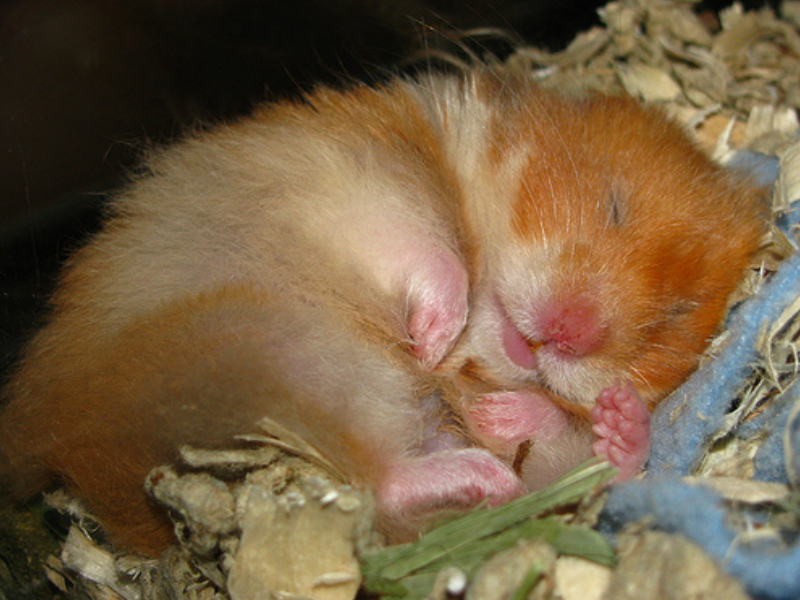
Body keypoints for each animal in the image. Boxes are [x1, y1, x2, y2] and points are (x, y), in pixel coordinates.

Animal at [0, 68, 766, 556]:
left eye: (675, 317)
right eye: (613, 203)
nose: (569, 334)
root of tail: (62, 448)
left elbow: (557, 437)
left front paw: (526, 410)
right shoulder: (357, 185)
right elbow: (430, 253)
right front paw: (430, 339)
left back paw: (569, 442)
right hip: (278, 348)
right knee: (381, 481)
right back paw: (469, 445)